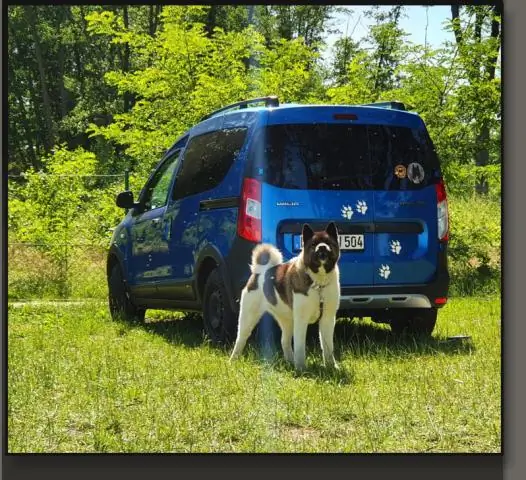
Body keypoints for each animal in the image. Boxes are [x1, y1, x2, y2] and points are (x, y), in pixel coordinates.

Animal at [231, 223, 342, 370]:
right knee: (240, 339)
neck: (318, 282)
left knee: (284, 341)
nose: (322, 247)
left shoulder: (327, 319)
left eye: (328, 242)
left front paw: (331, 366)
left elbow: (328, 346)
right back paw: (233, 360)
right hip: (248, 317)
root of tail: (260, 272)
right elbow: (300, 346)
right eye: (313, 244)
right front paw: (301, 368)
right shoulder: (301, 319)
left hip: (287, 320)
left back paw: (290, 361)